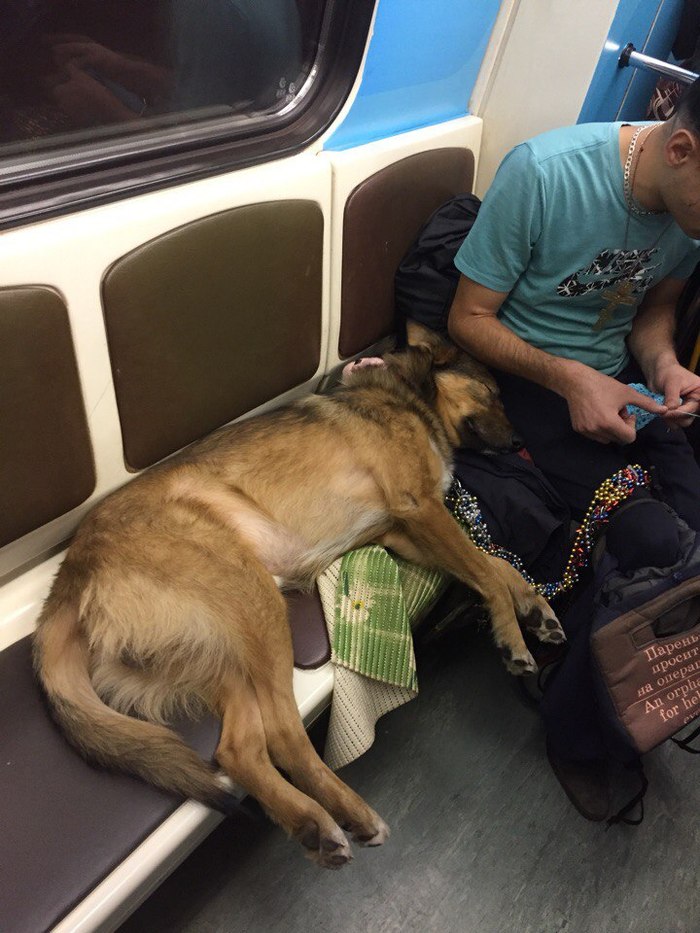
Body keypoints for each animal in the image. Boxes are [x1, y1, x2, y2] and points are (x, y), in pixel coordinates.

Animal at [32, 320, 560, 868]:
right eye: (493, 392)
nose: (521, 441)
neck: (405, 394)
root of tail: (70, 574)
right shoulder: (419, 509)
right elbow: (485, 571)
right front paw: (512, 638)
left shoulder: (404, 533)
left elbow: (495, 565)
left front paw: (535, 607)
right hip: (256, 605)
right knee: (283, 736)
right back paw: (351, 814)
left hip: (218, 651)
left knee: (238, 750)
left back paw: (310, 824)